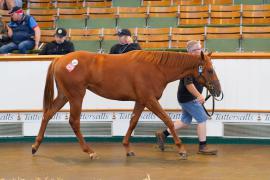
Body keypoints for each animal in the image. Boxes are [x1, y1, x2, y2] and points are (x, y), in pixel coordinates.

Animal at [32, 50, 221, 160]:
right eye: (210, 70)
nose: (218, 91)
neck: (156, 68)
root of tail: (60, 59)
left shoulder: (141, 101)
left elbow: (133, 122)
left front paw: (127, 148)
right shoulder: (150, 99)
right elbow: (167, 120)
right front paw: (181, 149)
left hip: (64, 96)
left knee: (47, 114)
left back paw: (35, 146)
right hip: (76, 96)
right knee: (74, 121)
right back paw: (89, 151)